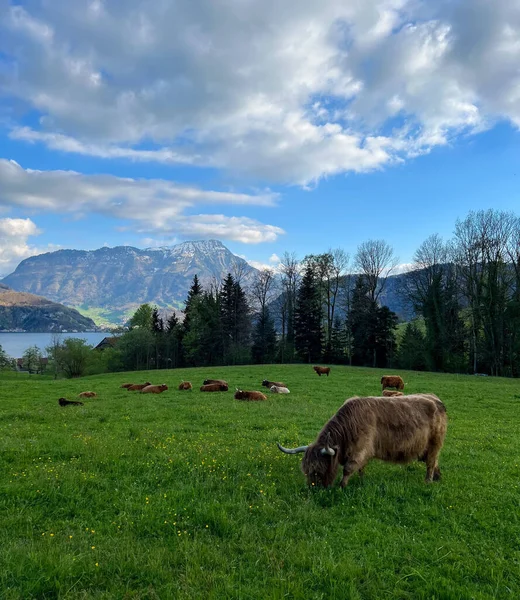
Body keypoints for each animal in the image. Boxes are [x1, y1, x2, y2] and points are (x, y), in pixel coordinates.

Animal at [276, 394, 446, 488]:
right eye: (306, 470)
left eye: (318, 469)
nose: (313, 489)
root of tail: (435, 399)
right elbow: (360, 468)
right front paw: (362, 480)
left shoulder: (360, 450)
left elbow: (348, 469)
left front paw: (341, 486)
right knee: (434, 462)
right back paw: (438, 477)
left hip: (434, 444)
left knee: (431, 463)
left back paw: (428, 481)